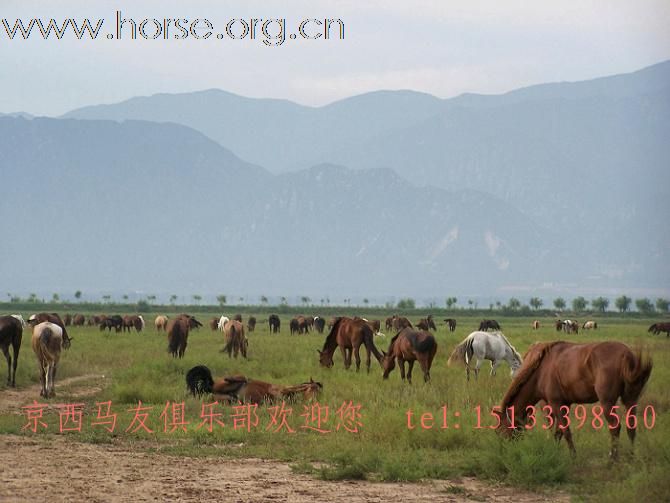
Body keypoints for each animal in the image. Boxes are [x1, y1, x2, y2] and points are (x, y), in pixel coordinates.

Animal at [182, 366, 322, 406]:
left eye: (319, 393)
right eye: (313, 389)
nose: (312, 402)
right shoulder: (278, 390)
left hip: (225, 398)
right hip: (225, 384)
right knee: (240, 378)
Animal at [496, 342, 652, 460]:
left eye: (499, 430)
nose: (503, 450)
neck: (540, 369)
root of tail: (626, 355)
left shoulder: (555, 403)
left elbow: (565, 431)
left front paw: (572, 456)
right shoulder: (562, 404)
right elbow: (558, 431)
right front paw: (554, 451)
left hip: (607, 402)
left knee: (615, 427)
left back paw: (613, 459)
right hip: (630, 399)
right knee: (631, 426)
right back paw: (631, 456)